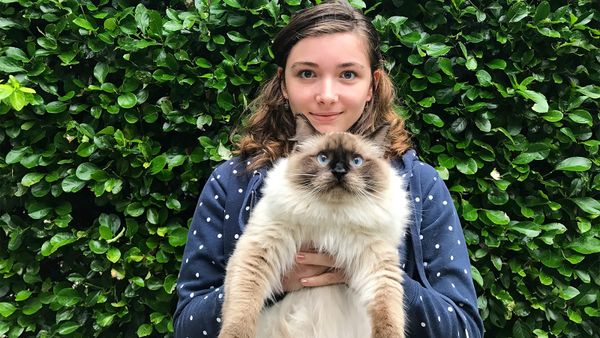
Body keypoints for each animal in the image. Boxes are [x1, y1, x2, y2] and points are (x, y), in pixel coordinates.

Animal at [218, 116, 410, 338]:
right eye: (323, 158)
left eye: (356, 161)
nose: (339, 172)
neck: (332, 217)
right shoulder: (259, 251)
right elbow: (242, 308)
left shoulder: (377, 264)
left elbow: (388, 314)